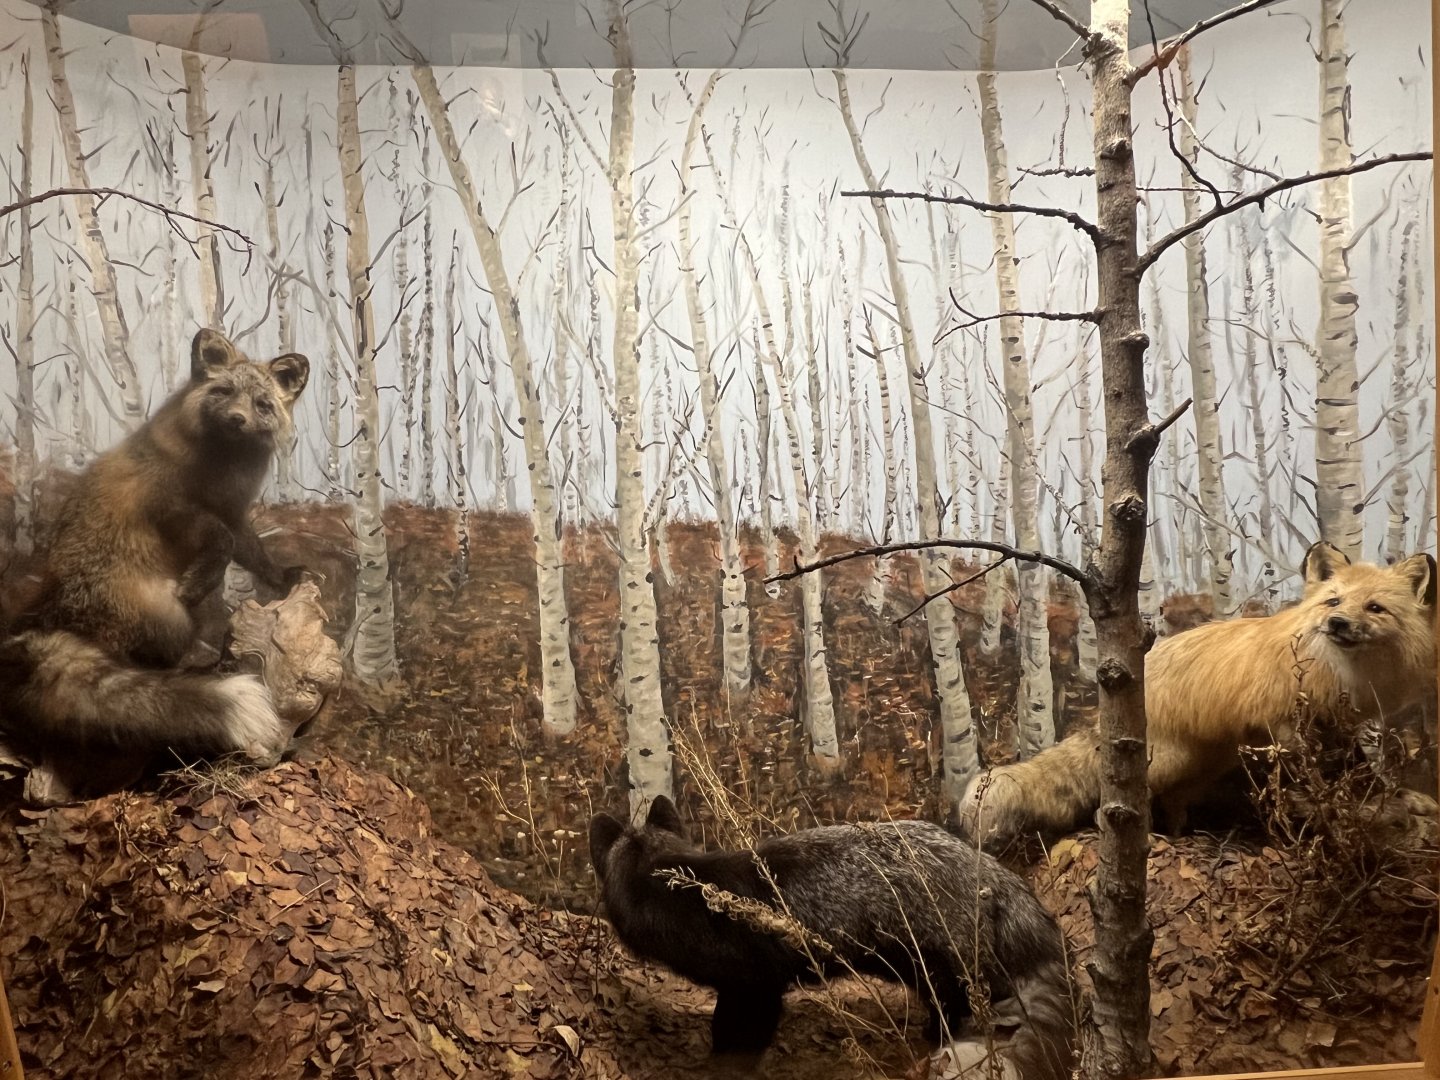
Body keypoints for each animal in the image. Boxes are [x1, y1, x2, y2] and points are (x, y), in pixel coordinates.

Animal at [0, 328, 310, 790]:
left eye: (261, 404)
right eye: (224, 392)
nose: (237, 419)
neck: (221, 471)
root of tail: (45, 618)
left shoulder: (234, 514)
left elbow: (253, 553)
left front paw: (285, 576)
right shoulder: (171, 507)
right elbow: (220, 543)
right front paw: (198, 583)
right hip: (171, 619)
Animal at [590, 796, 1076, 1080]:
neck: (685, 891)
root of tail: (991, 868)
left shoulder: (755, 989)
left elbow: (734, 1041)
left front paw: (719, 1068)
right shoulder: (747, 989)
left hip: (948, 975)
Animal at [961, 541, 1437, 847]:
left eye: (1374, 608)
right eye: (1333, 601)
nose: (1337, 623)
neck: (1344, 673)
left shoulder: (1340, 726)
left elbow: (1361, 775)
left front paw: (1399, 801)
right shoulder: (1291, 724)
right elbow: (1333, 776)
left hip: (1202, 766)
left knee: (1171, 804)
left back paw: (1184, 835)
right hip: (1165, 763)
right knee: (1108, 806)